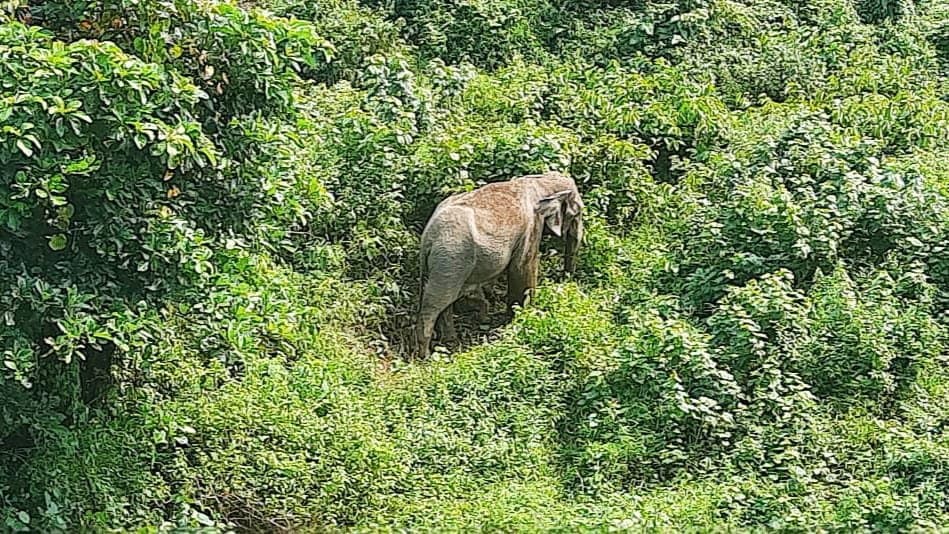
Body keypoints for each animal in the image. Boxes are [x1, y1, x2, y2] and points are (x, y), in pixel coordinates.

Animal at [414, 171, 584, 360]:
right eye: (578, 212)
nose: (565, 281)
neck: (540, 181)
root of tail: (428, 238)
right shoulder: (531, 228)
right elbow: (522, 270)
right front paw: (521, 318)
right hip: (451, 259)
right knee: (436, 304)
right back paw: (425, 356)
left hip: (441, 265)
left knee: (444, 302)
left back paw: (450, 342)